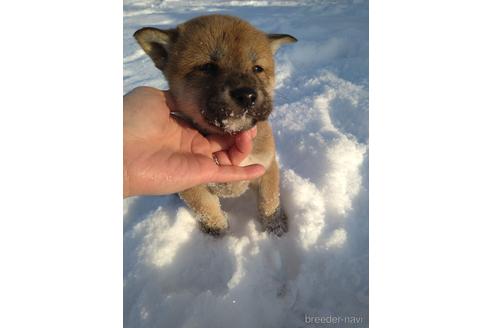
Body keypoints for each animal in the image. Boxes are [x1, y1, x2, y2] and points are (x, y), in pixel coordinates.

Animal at [134, 14, 296, 236]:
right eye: (208, 67)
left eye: (257, 68)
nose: (247, 95)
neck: (229, 135)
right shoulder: (192, 185)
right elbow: (206, 207)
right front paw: (218, 230)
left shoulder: (266, 167)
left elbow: (269, 200)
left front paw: (275, 226)